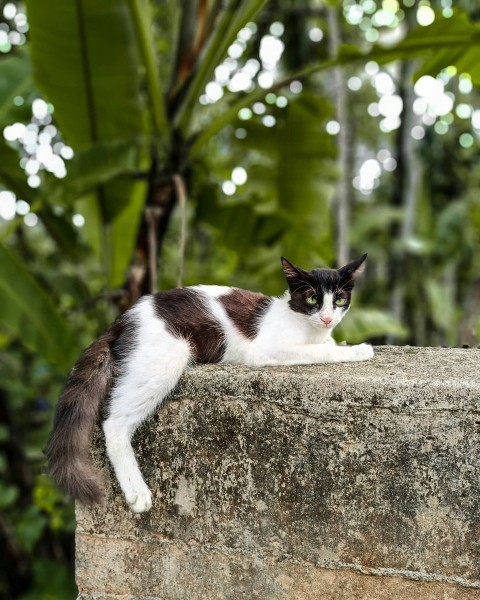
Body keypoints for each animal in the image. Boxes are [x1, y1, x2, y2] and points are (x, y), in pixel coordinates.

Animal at [47, 255, 374, 512]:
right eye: (312, 299)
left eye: (339, 300)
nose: (328, 318)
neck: (304, 324)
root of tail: (122, 320)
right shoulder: (265, 350)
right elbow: (322, 350)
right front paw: (357, 349)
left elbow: (326, 343)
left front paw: (338, 340)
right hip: (167, 356)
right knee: (115, 423)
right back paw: (137, 491)